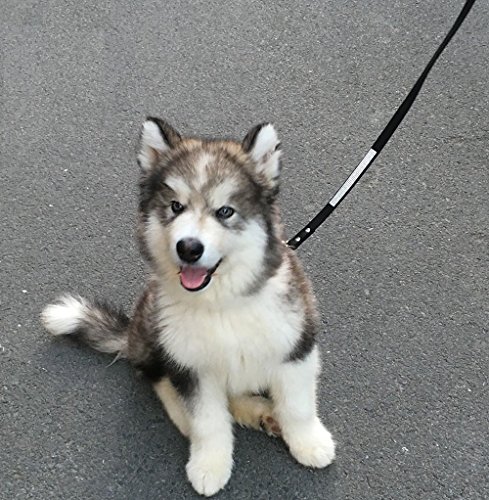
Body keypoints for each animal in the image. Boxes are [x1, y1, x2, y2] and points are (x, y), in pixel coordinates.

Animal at [41, 118, 336, 496]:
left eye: (225, 211)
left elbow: (298, 406)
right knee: (158, 379)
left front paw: (309, 442)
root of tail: (131, 333)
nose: (189, 248)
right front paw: (209, 465)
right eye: (175, 207)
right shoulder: (191, 368)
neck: (222, 303)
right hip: (154, 330)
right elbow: (207, 421)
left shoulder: (296, 345)